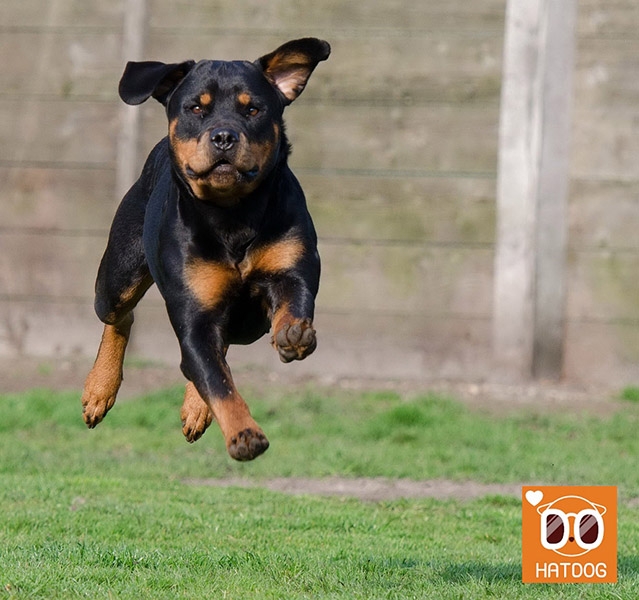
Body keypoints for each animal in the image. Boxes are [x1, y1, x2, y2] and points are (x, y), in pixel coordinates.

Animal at [81, 38, 330, 460]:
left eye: (253, 109)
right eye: (196, 108)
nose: (224, 136)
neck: (233, 214)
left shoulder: (292, 267)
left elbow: (292, 302)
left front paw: (293, 333)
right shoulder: (194, 311)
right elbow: (216, 380)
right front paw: (244, 434)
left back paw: (194, 408)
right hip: (116, 278)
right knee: (121, 317)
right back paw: (99, 391)